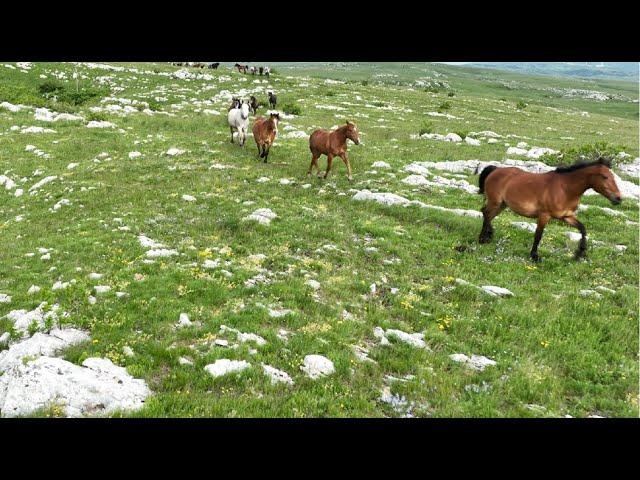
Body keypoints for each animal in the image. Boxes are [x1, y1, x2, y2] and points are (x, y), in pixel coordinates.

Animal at [478, 158, 624, 262]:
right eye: (605, 176)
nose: (618, 198)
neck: (565, 189)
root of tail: (495, 169)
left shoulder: (567, 216)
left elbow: (582, 229)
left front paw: (579, 254)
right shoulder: (544, 215)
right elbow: (538, 235)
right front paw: (535, 256)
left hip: (502, 205)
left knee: (487, 214)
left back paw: (488, 236)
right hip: (495, 202)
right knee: (486, 213)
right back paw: (483, 239)